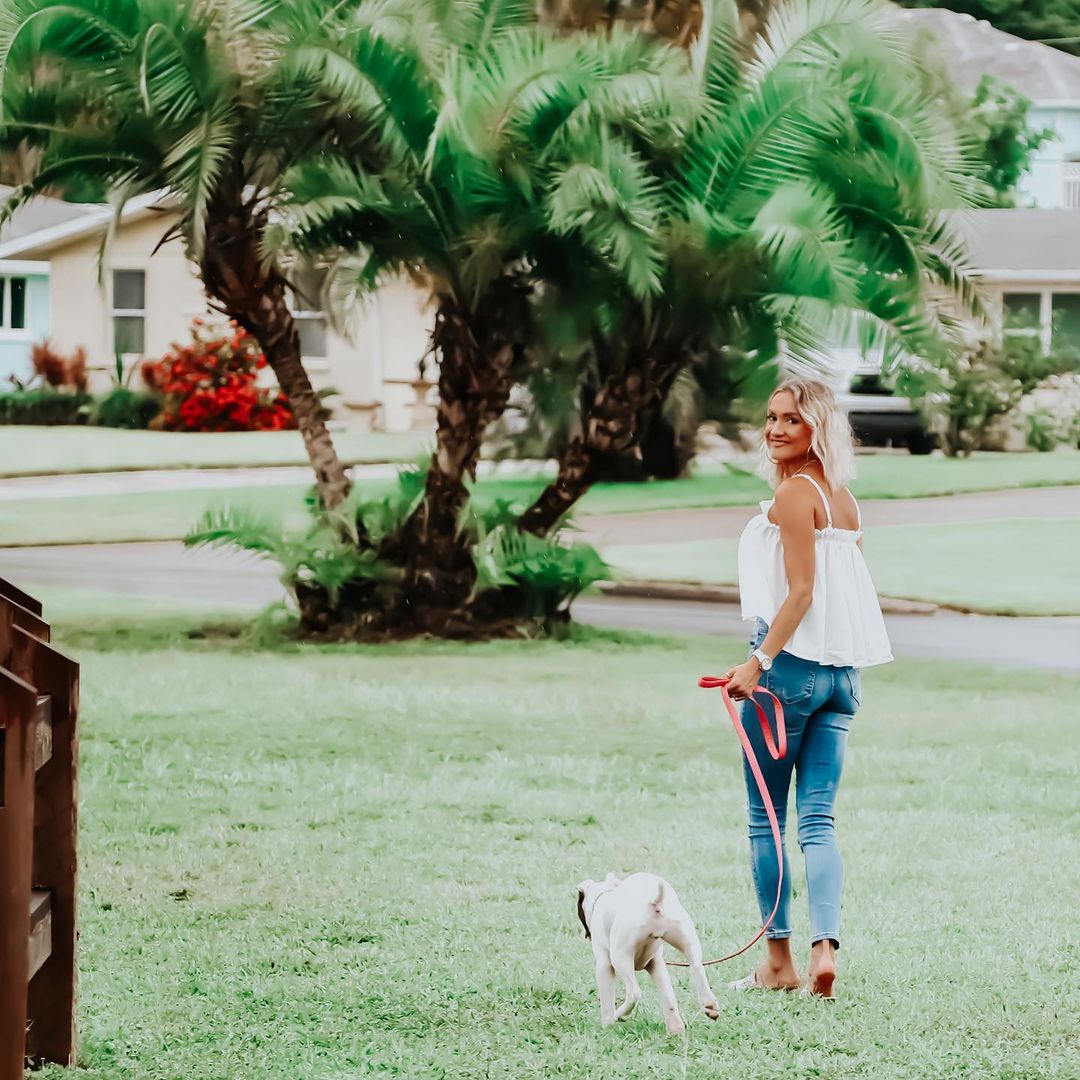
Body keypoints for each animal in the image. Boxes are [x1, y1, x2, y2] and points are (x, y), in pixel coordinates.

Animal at [574, 868, 717, 1028]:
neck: (603, 895)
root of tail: (653, 902)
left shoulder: (604, 966)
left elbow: (607, 1003)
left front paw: (606, 1025)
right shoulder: (655, 963)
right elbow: (668, 996)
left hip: (620, 957)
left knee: (634, 993)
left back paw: (619, 1015)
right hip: (687, 941)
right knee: (696, 968)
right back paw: (702, 1010)